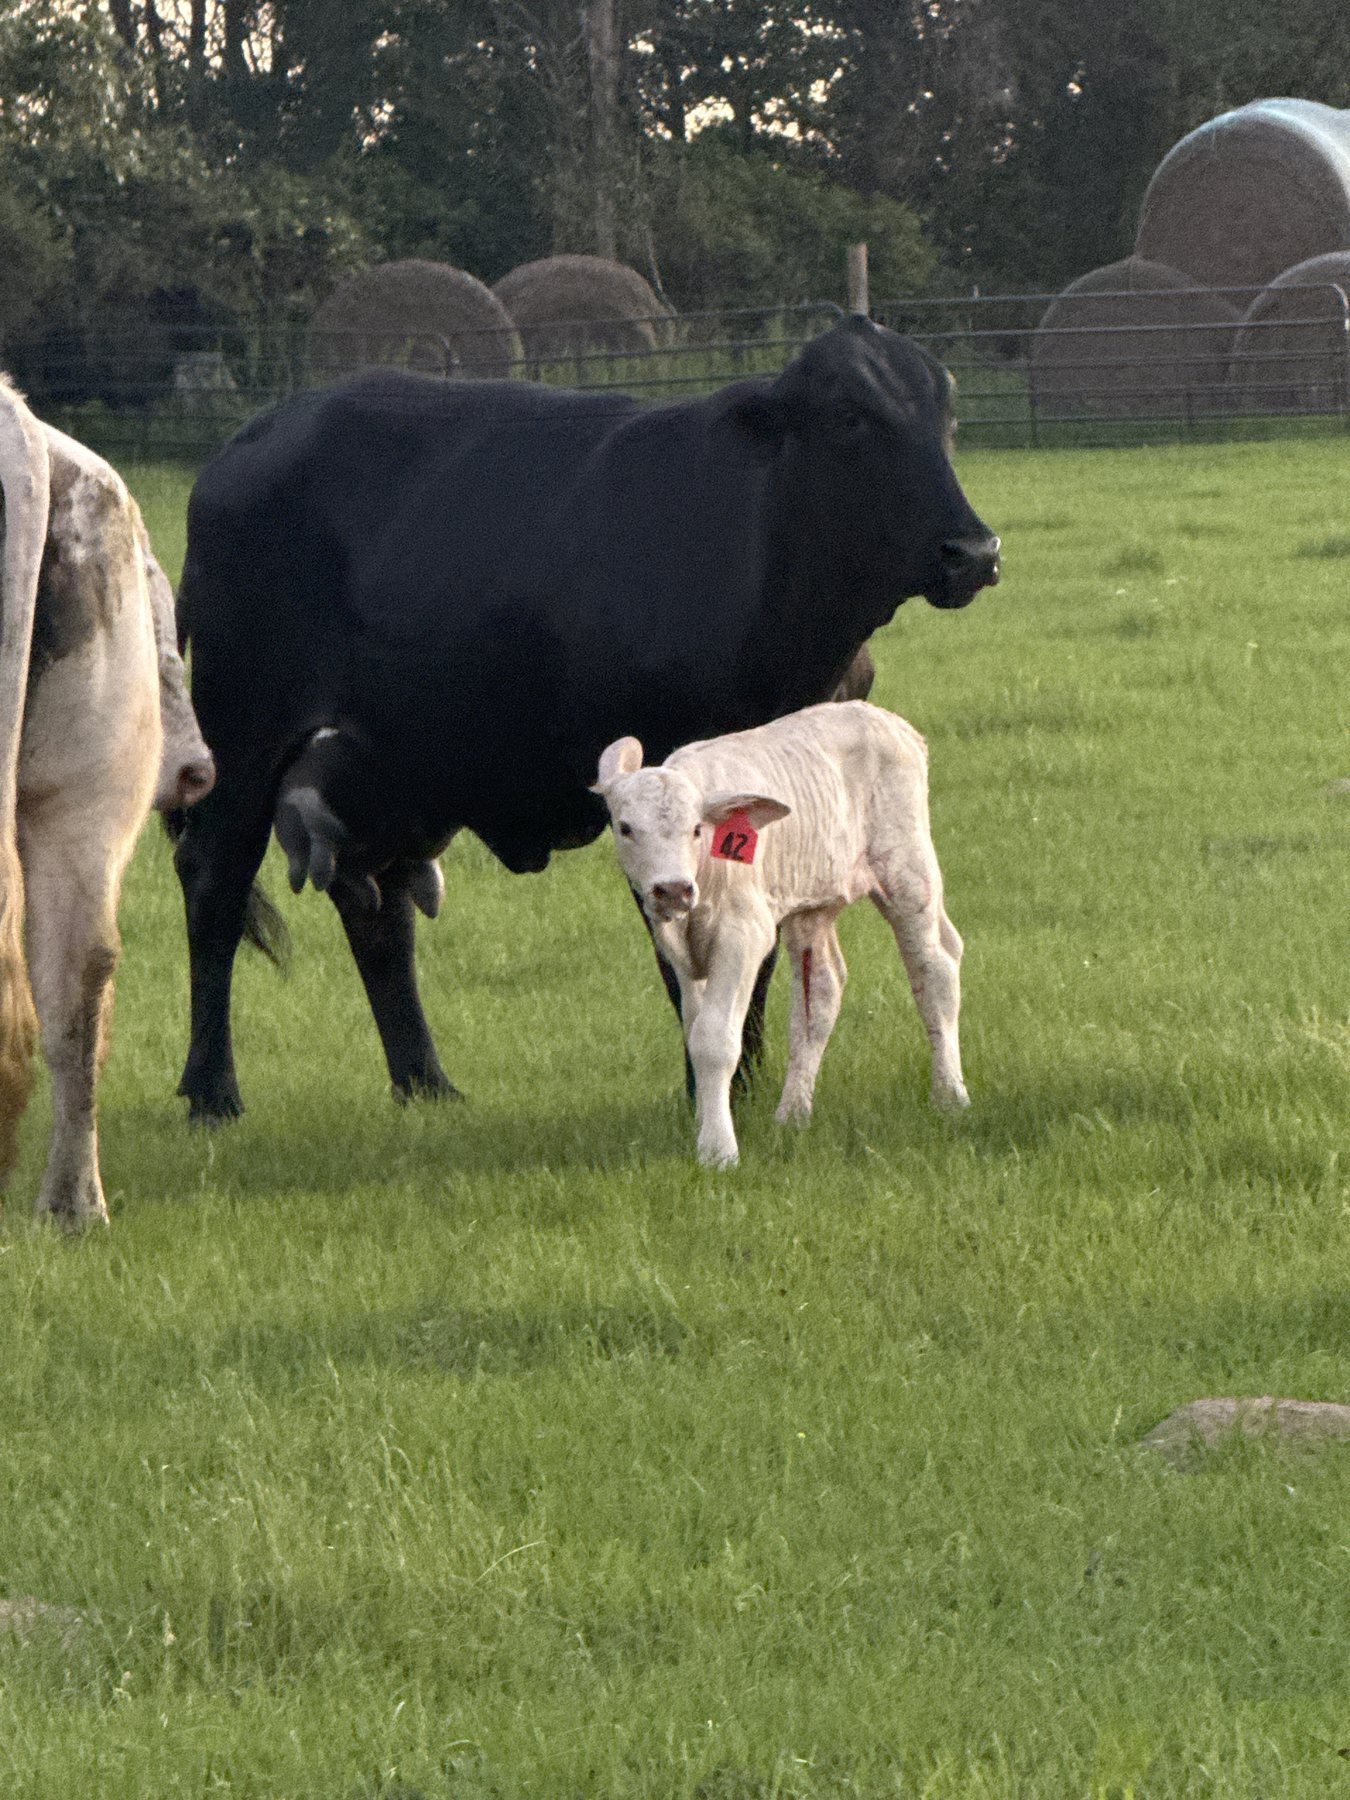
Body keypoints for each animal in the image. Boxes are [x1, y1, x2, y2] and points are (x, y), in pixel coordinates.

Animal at [592, 702, 968, 1166]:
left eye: (696, 829)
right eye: (625, 828)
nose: (674, 889)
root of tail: (887, 720)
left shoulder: (744, 932)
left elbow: (715, 1039)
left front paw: (718, 1150)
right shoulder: (677, 947)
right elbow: (694, 1027)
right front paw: (704, 1124)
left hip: (907, 867)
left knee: (936, 966)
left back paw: (950, 1094)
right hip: (812, 902)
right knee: (821, 991)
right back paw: (793, 1113)